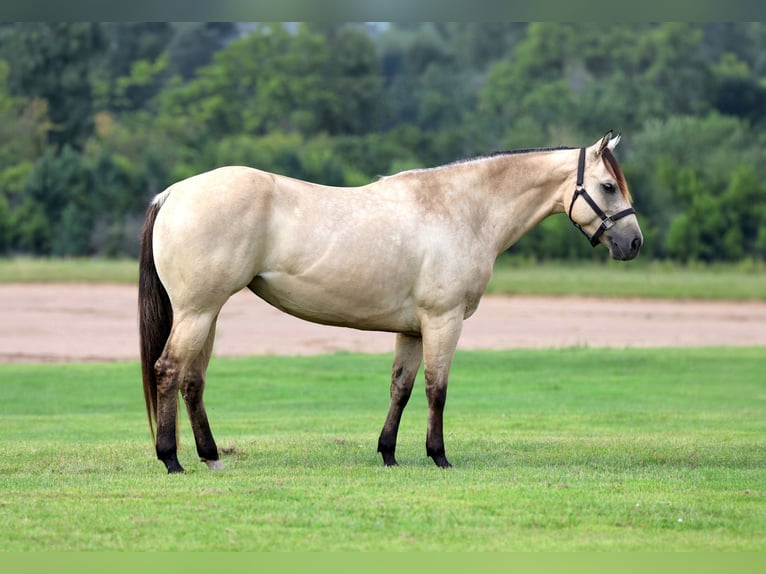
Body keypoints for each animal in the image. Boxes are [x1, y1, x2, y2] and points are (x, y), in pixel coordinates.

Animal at [138, 131, 643, 474]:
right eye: (609, 186)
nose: (633, 243)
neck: (461, 209)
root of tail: (173, 193)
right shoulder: (444, 321)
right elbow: (437, 388)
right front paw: (439, 456)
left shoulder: (412, 329)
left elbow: (401, 387)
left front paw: (388, 453)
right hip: (198, 312)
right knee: (169, 370)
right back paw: (172, 460)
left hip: (207, 314)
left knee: (192, 381)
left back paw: (210, 457)